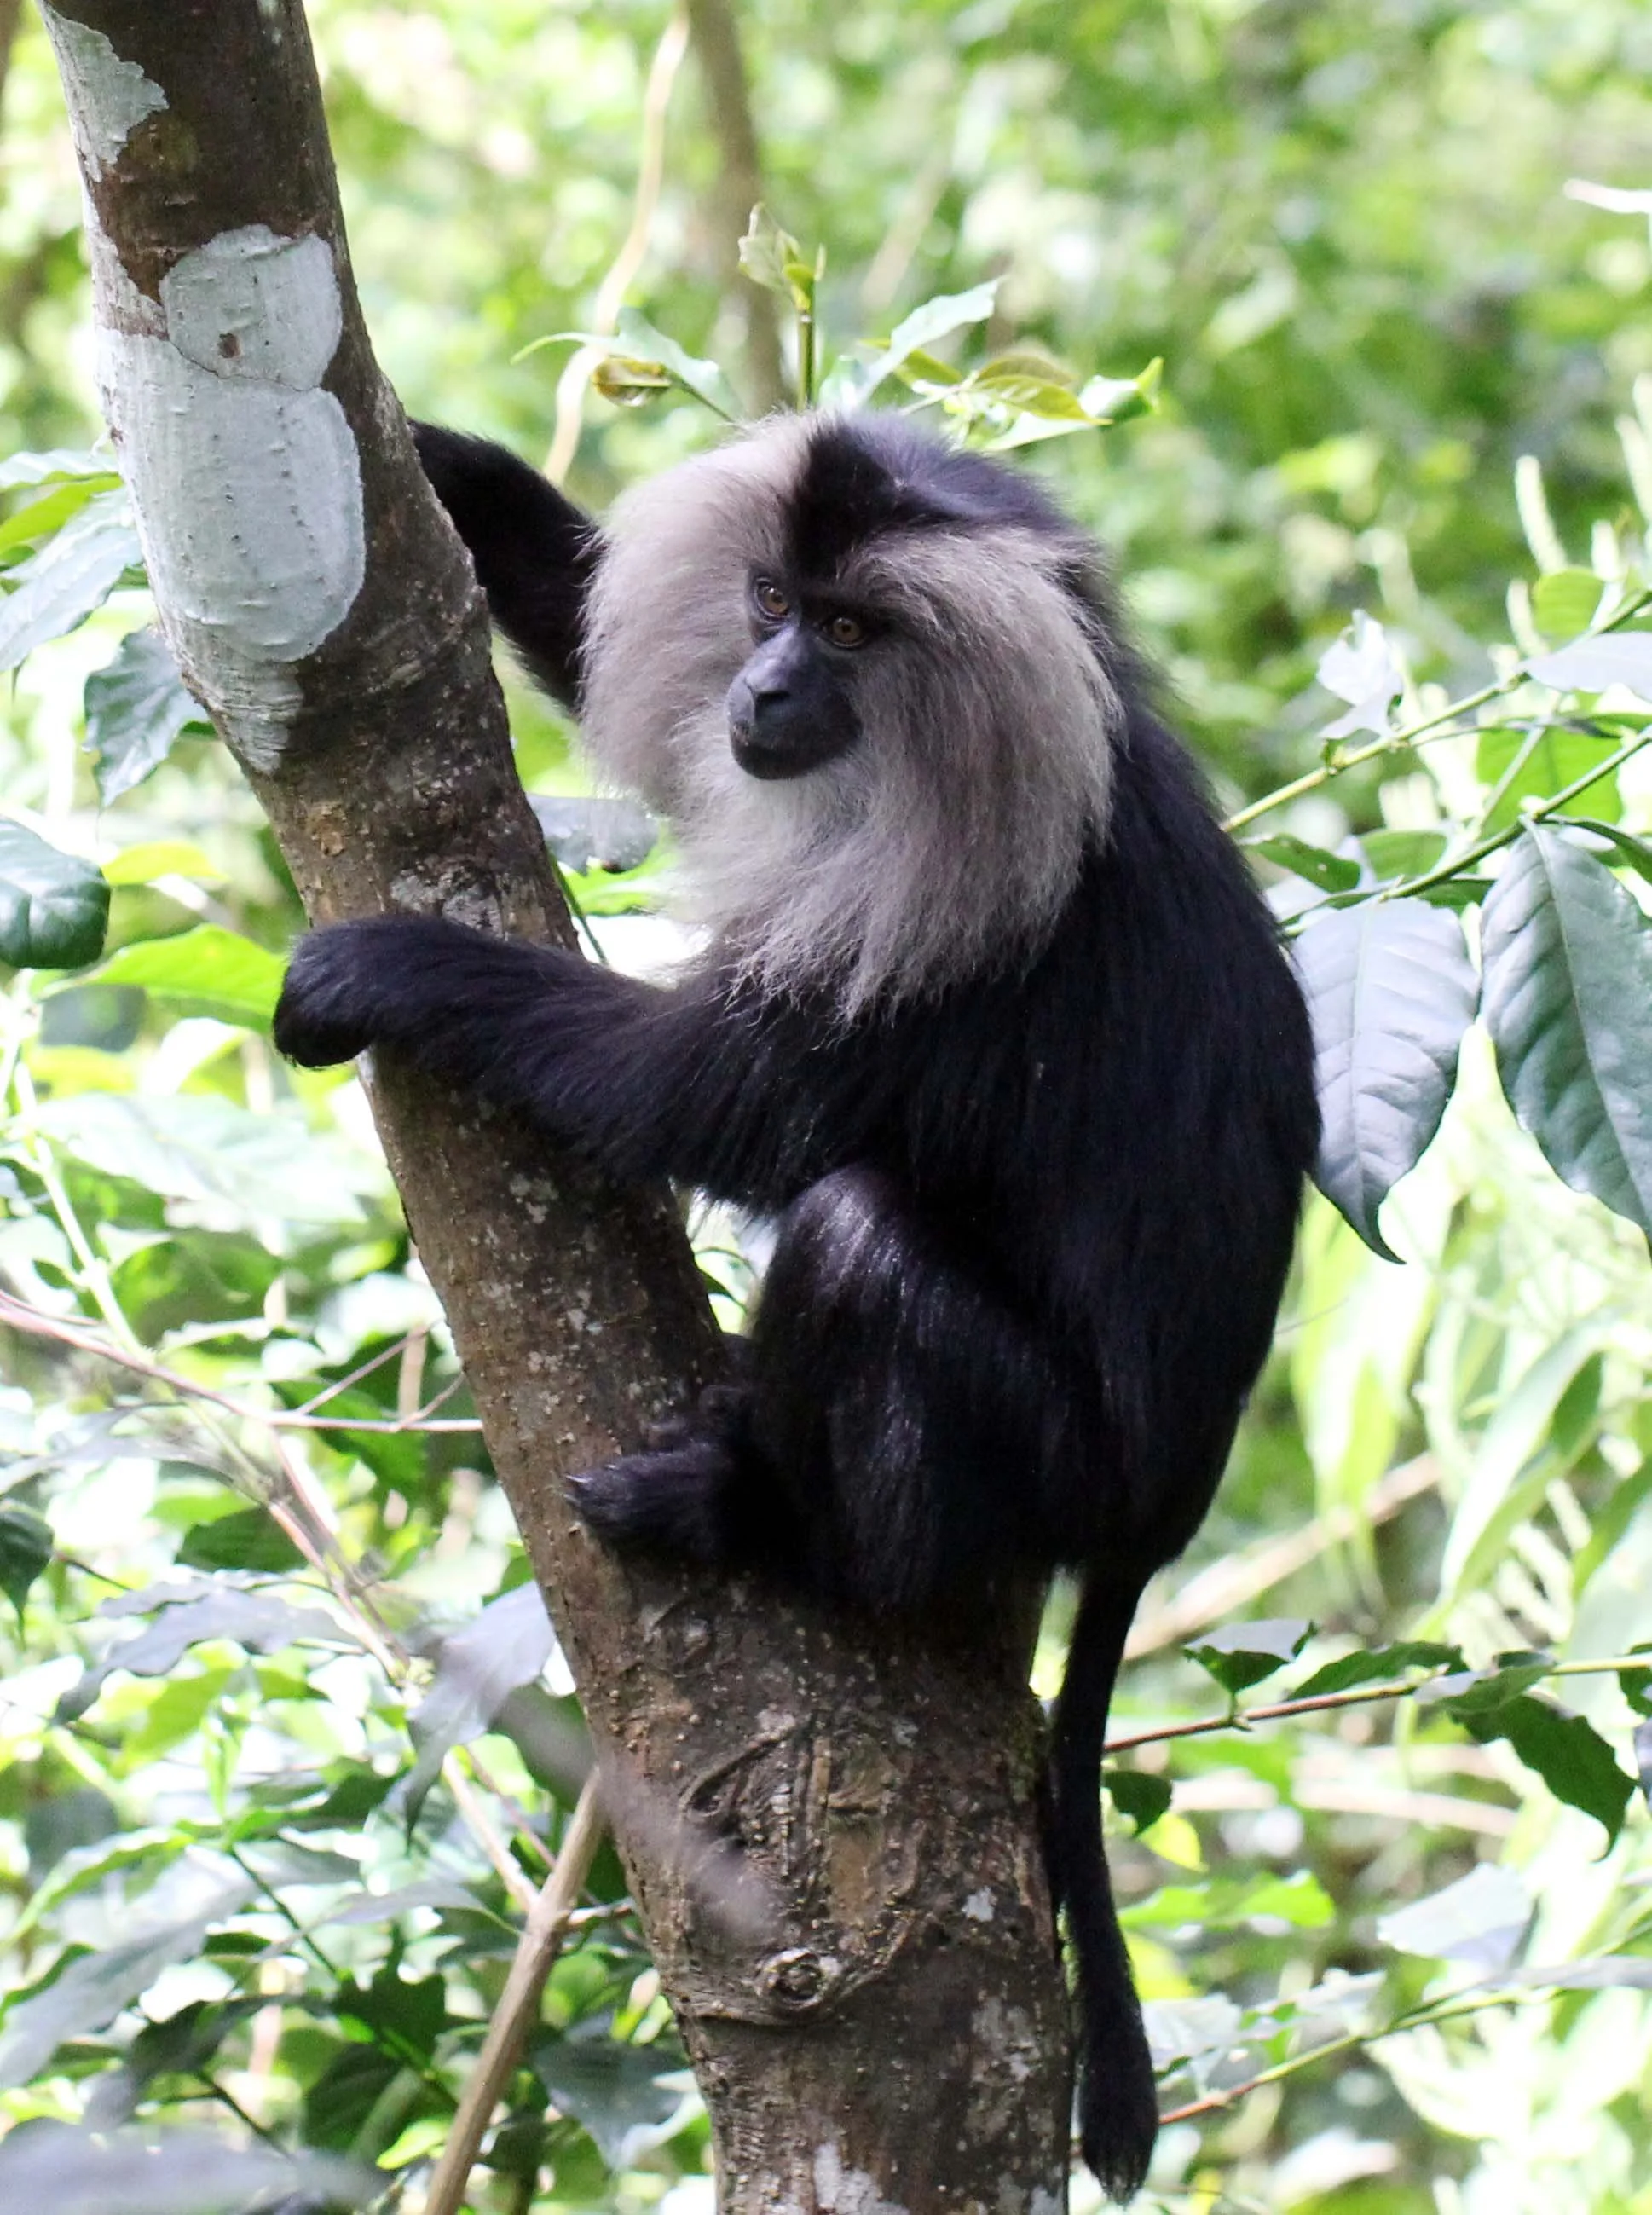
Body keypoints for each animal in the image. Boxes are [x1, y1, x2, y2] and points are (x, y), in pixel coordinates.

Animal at [274, 408, 1320, 2201]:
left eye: (846, 630)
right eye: (768, 599)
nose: (761, 688)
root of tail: (1159, 1514)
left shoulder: (941, 926)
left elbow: (709, 1104)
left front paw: (386, 970)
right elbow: (576, 614)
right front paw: (429, 454)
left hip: (1048, 1458)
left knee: (857, 1234)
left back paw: (763, 1522)